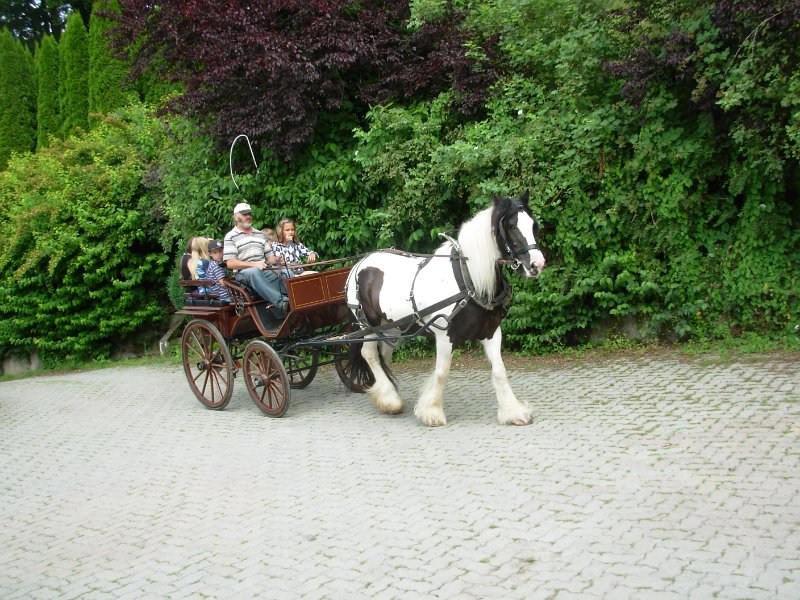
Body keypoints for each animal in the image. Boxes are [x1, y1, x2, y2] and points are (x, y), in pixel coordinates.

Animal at [343, 191, 546, 426]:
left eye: (534, 225)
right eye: (512, 226)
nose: (537, 264)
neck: (469, 279)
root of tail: (360, 264)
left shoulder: (491, 332)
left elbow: (499, 370)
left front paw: (513, 412)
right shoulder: (444, 335)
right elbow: (441, 372)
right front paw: (431, 412)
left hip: (390, 329)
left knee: (383, 355)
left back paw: (387, 396)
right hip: (367, 325)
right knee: (370, 355)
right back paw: (391, 400)